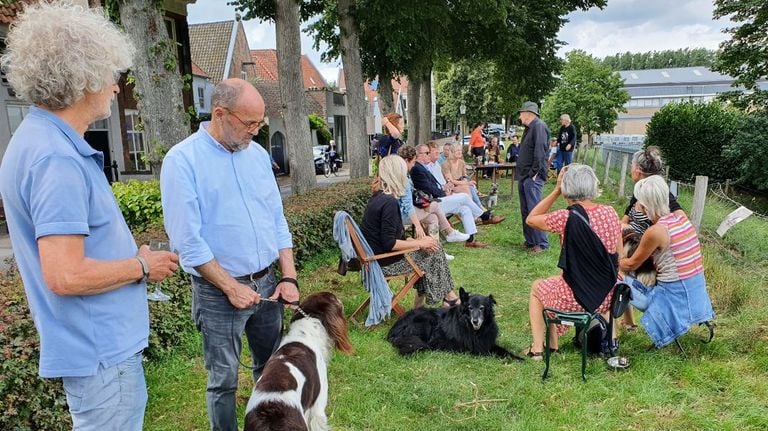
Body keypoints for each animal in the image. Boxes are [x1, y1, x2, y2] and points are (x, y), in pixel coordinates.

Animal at [388, 290, 524, 362]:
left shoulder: (487, 342)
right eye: (470, 308)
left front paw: (519, 358)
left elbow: (504, 350)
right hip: (426, 322)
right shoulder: (476, 350)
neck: (474, 331)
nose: (475, 321)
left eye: (482, 308)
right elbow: (495, 354)